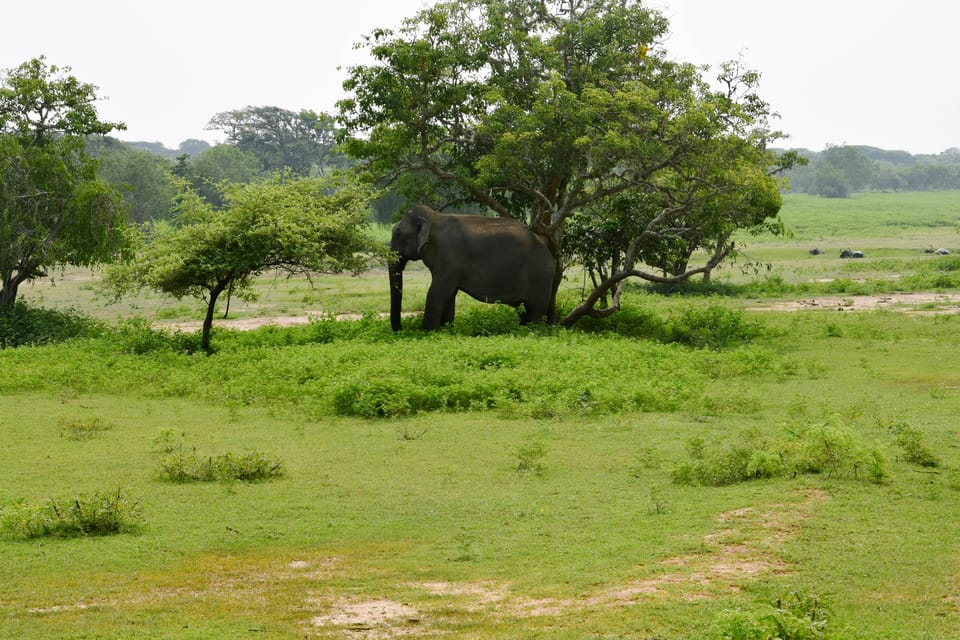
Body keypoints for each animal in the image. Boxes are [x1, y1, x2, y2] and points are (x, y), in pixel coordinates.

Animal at [388, 205, 556, 332]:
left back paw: (532, 331)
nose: (400, 330)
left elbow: (437, 293)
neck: (434, 217)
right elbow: (449, 295)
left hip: (540, 274)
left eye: (398, 233)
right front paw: (446, 331)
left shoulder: (449, 259)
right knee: (524, 311)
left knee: (536, 309)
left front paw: (428, 332)